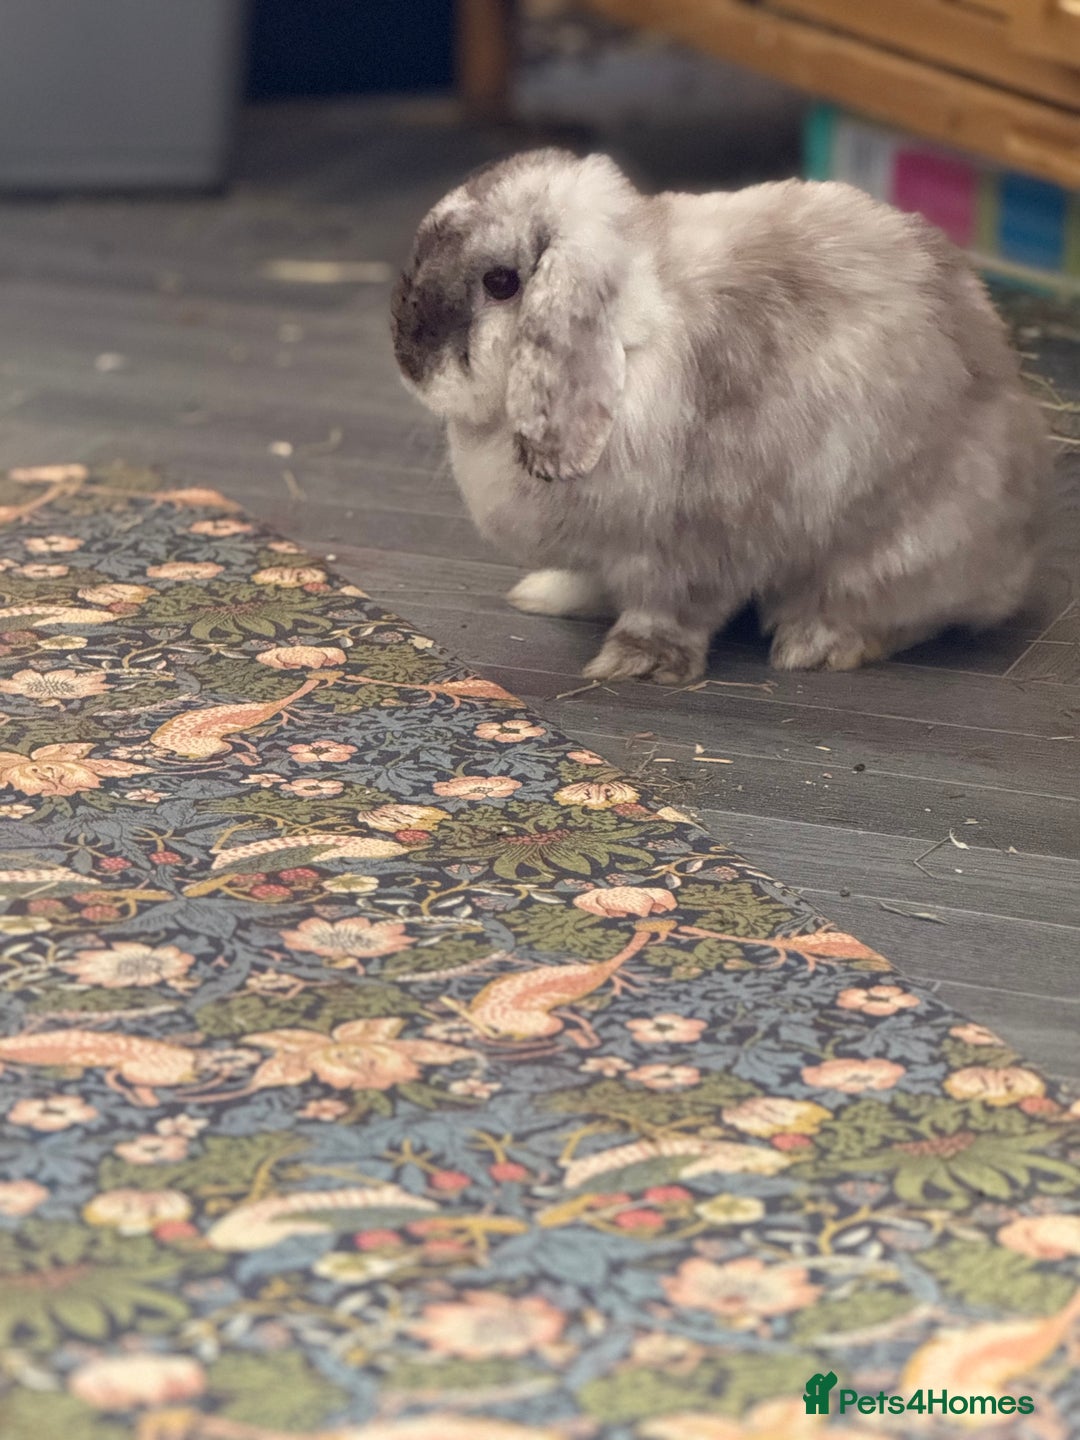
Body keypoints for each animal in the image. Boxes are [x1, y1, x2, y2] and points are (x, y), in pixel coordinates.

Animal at [390, 148, 1051, 684]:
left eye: (502, 282)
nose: (408, 360)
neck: (628, 345)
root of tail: (1016, 561)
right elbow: (597, 578)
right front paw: (548, 594)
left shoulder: (695, 545)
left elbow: (671, 610)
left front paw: (634, 663)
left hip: (901, 552)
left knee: (899, 614)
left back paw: (815, 645)